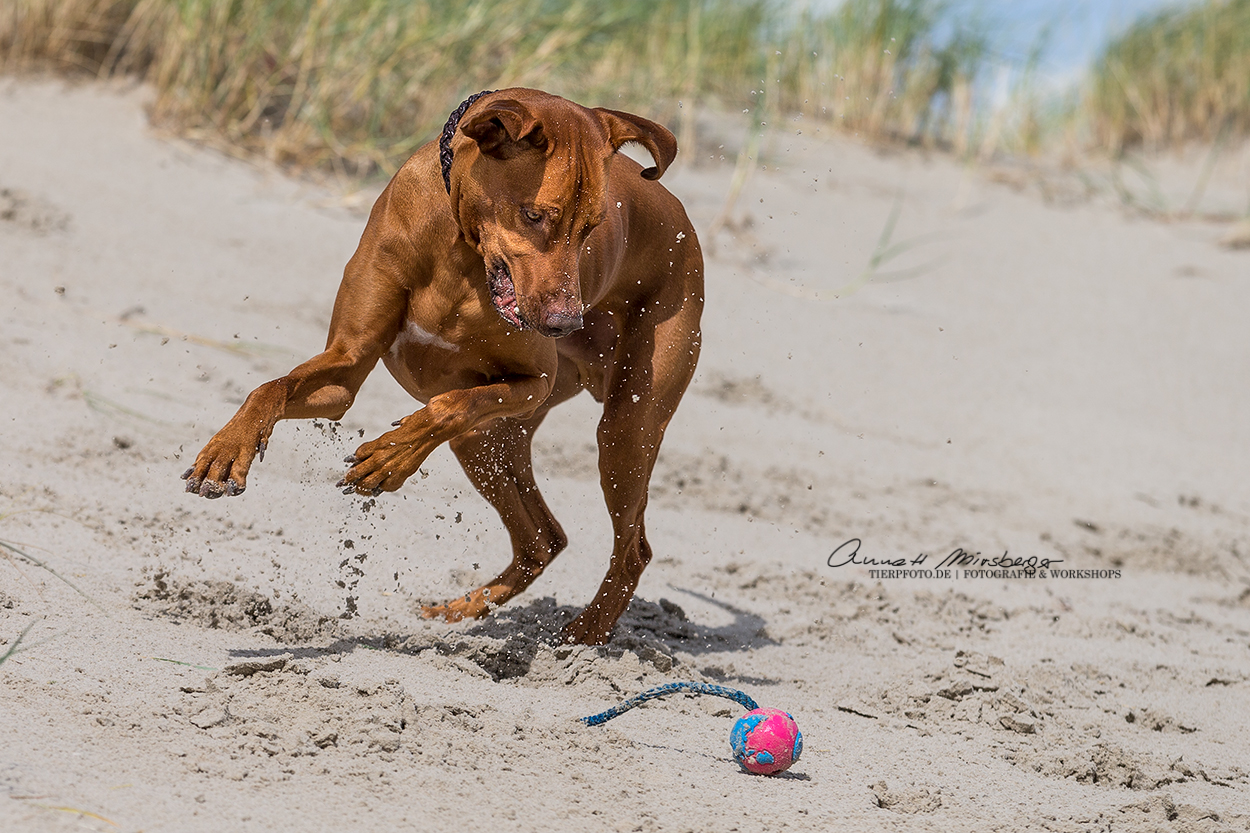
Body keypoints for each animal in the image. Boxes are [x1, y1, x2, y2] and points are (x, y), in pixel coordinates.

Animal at [181, 87, 705, 640]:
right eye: (534, 215)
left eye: (591, 228)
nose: (566, 324)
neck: (458, 246)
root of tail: (682, 216)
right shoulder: (345, 367)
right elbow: (270, 388)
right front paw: (226, 451)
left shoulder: (533, 380)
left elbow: (447, 405)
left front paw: (391, 456)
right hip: (489, 442)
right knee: (543, 539)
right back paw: (461, 611)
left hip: (626, 428)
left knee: (632, 549)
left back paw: (582, 637)